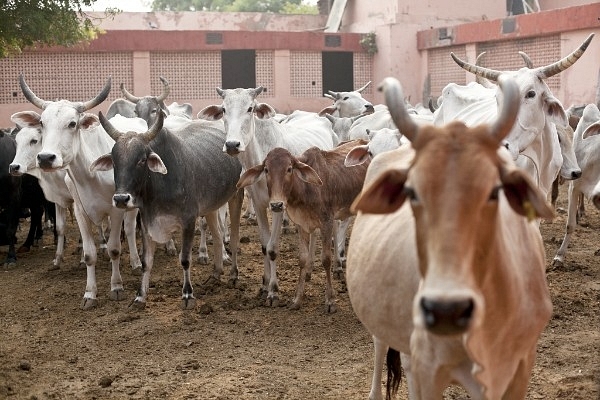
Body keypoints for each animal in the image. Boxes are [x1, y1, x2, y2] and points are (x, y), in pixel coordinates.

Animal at [198, 87, 336, 306]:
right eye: (224, 109)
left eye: (250, 108)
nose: (232, 144)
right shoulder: (258, 203)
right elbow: (264, 245)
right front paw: (264, 285)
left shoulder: (278, 206)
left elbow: (272, 248)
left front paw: (273, 291)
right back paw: (308, 271)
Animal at [239, 140, 370, 312]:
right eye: (266, 169)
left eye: (289, 169)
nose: (276, 205)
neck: (305, 189)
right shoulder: (302, 225)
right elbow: (302, 258)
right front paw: (297, 299)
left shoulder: (326, 222)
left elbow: (325, 259)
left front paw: (330, 301)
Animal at [344, 76, 556, 400]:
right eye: (411, 191)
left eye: (495, 190)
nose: (446, 308)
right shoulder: (430, 368)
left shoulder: (519, 366)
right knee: (382, 347)